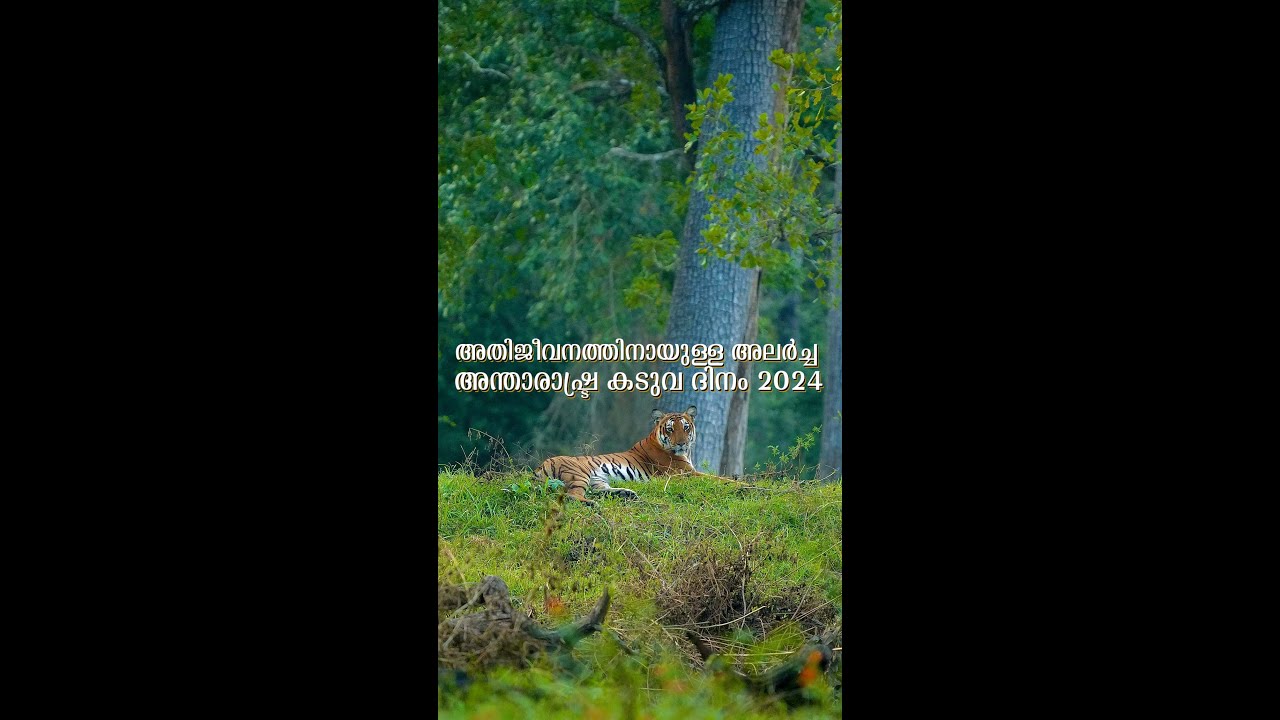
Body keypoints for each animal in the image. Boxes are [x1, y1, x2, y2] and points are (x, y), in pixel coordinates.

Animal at [534, 405, 718, 506]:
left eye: (686, 427)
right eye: (670, 429)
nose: (681, 443)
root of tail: (539, 468)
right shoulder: (685, 474)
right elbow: (717, 479)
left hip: (597, 480)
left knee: (599, 491)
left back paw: (626, 493)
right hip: (578, 474)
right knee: (572, 495)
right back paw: (593, 505)